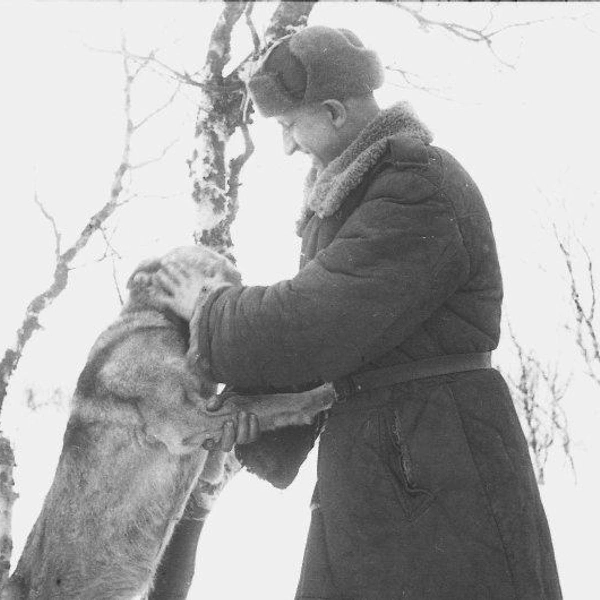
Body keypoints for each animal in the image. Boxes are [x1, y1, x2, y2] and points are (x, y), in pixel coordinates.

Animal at [3, 245, 332, 600]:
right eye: (205, 268)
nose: (241, 281)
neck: (161, 321)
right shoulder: (185, 419)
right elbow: (261, 402)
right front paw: (317, 396)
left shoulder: (206, 437)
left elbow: (239, 410)